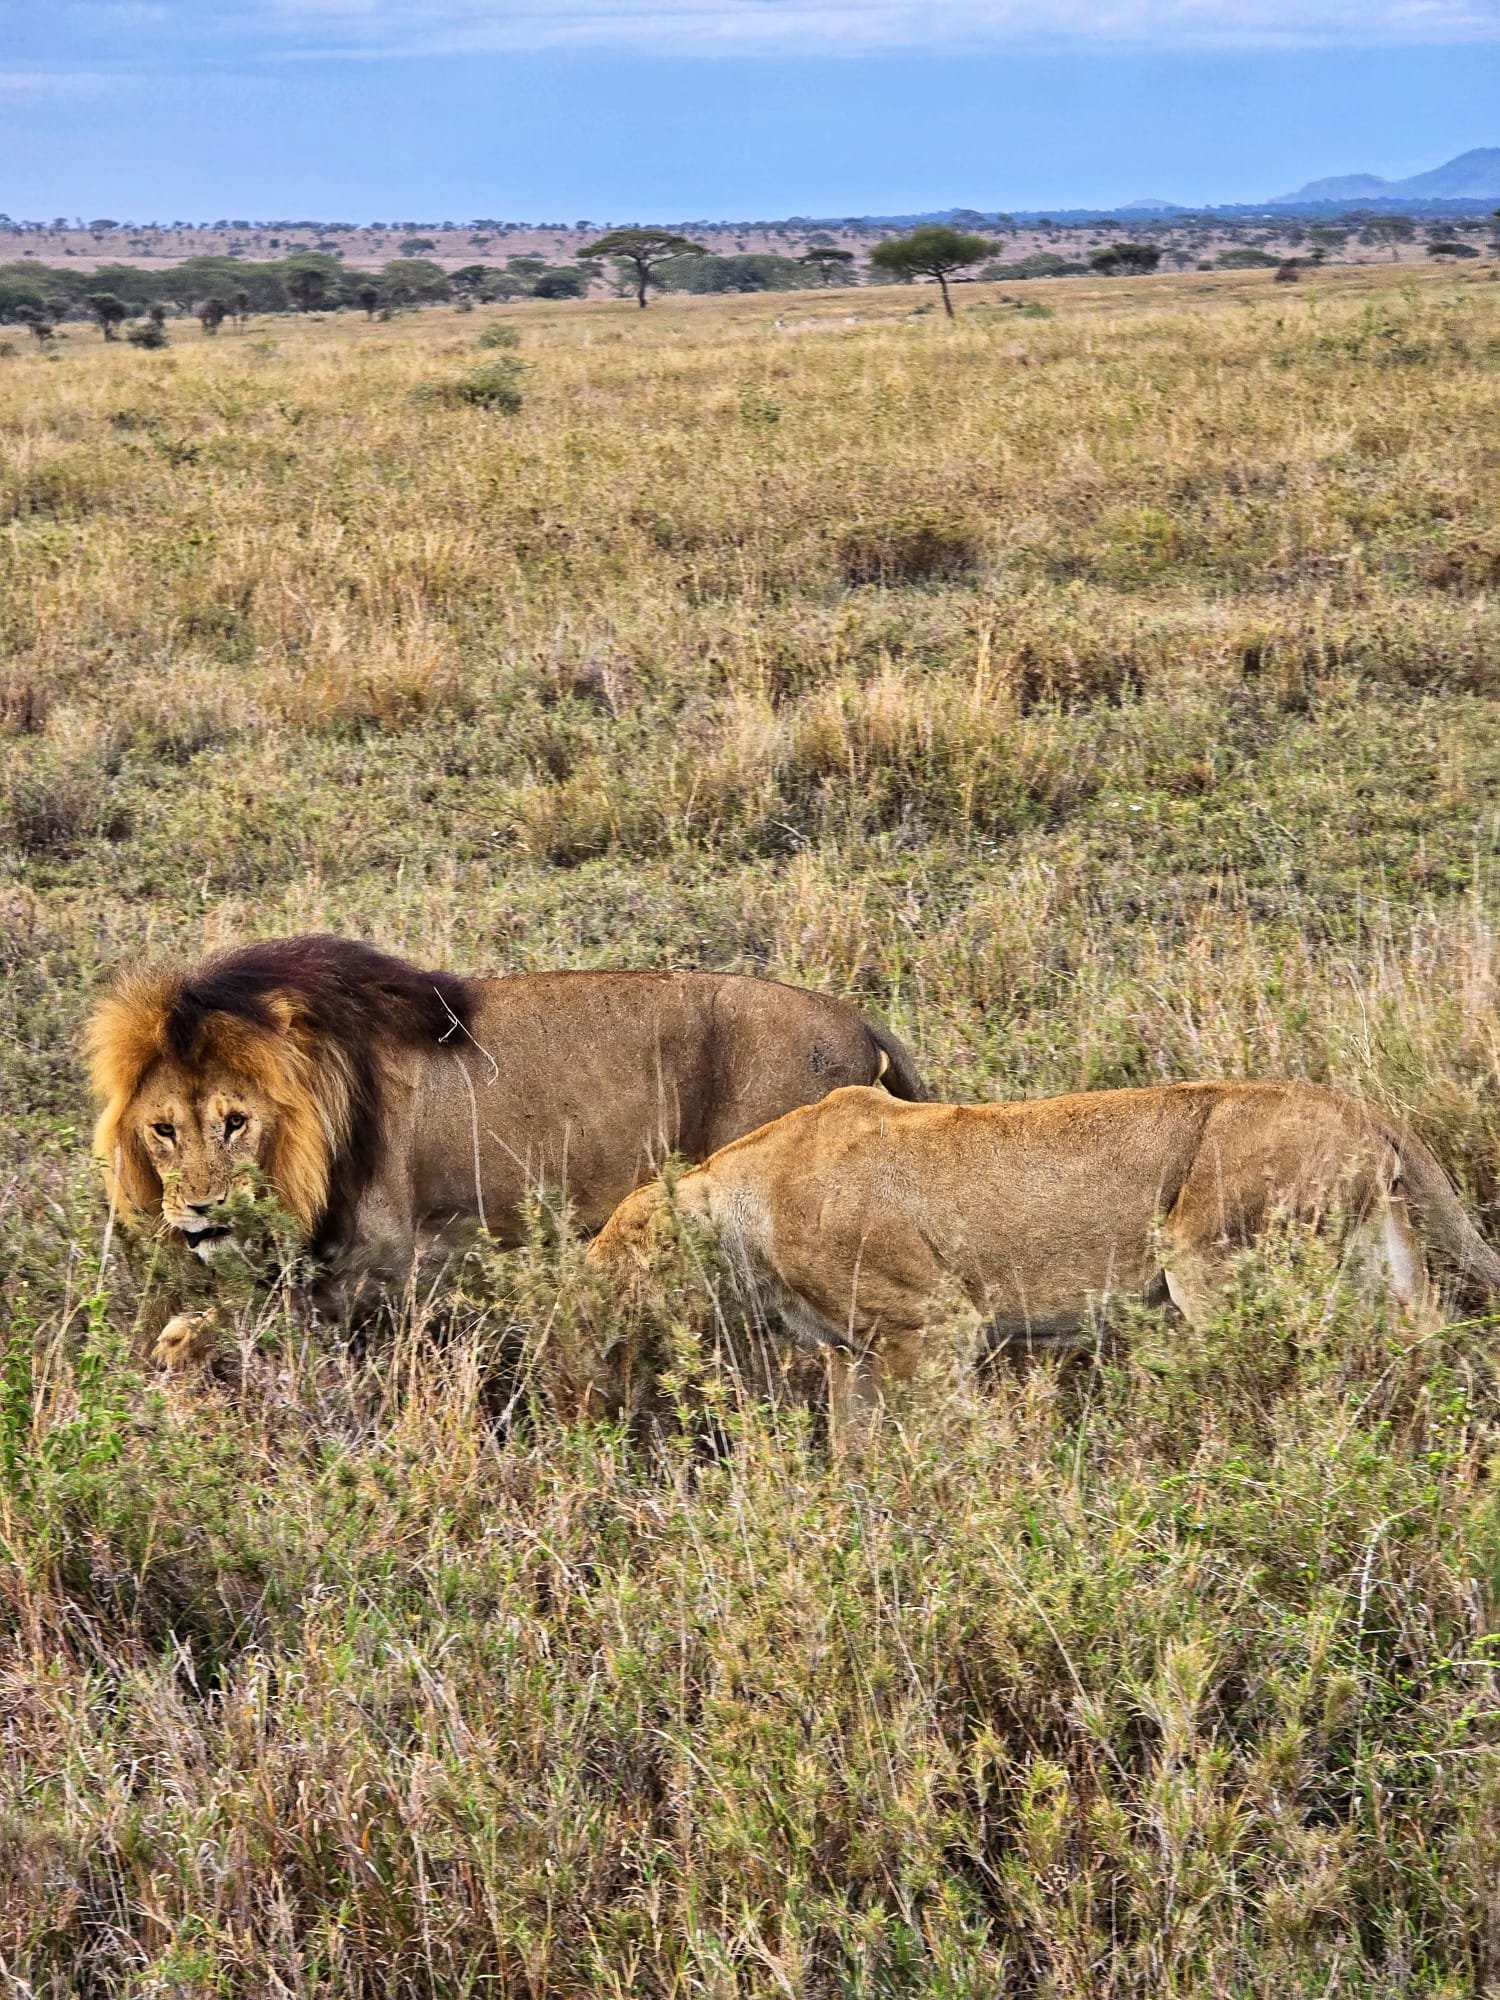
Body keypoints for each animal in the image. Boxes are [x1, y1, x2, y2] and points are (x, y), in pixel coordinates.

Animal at [87, 935, 923, 1366]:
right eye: (163, 1130)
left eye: (236, 1122)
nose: (201, 1210)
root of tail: (857, 1020)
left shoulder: (390, 1256)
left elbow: (237, 1317)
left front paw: (173, 1349)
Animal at [590, 1080, 1500, 1438]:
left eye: (611, 1259)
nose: (583, 1311)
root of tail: (1360, 1105)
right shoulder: (852, 1355)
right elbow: (855, 1446)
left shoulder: (937, 1322)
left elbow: (936, 1434)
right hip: (1380, 1255)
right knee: (1429, 1345)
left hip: (1208, 1255)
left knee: (1288, 1369)